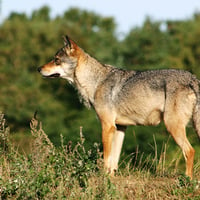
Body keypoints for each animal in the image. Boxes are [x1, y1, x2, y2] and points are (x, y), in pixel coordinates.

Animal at [38, 35, 200, 179]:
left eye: (56, 60)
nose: (38, 68)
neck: (95, 82)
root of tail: (193, 78)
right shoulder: (120, 128)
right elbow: (114, 160)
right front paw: (111, 178)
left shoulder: (107, 126)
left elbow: (106, 157)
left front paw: (103, 177)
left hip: (172, 126)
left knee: (190, 151)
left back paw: (187, 179)